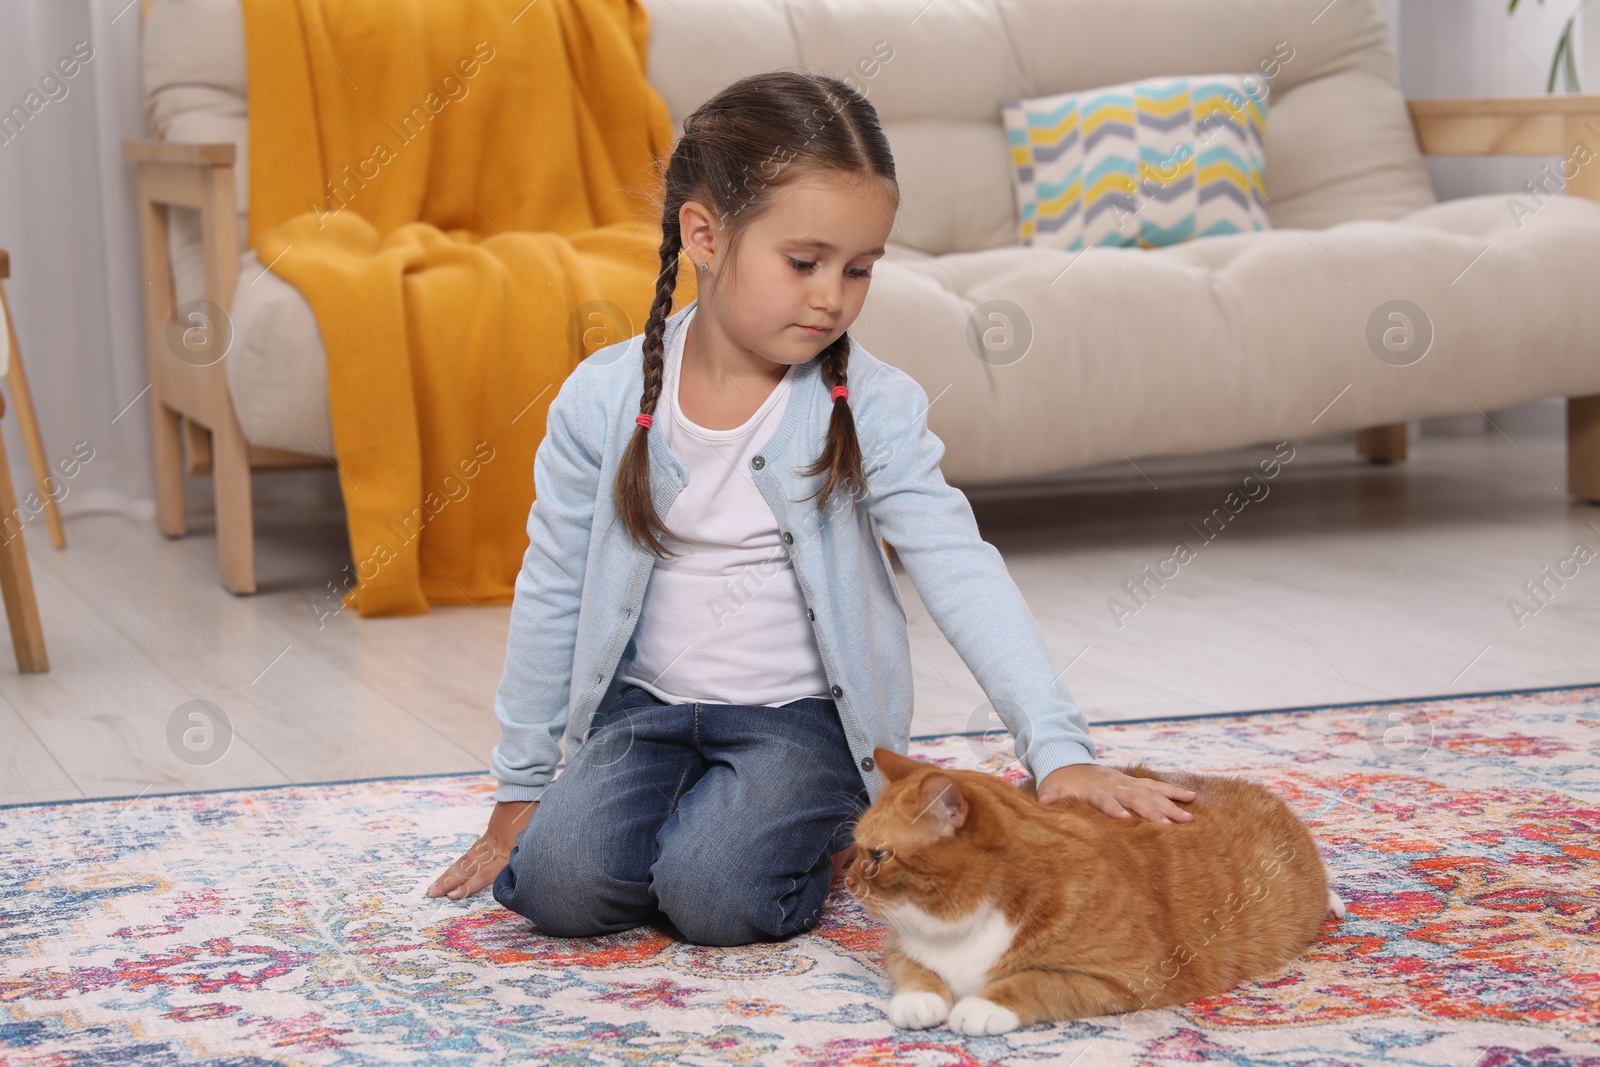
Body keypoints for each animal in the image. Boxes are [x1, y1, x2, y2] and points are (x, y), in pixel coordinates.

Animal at [844, 748, 1344, 1036]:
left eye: (879, 855)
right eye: (855, 847)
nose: (847, 881)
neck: (960, 925)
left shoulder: (1129, 976)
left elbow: (1037, 981)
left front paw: (981, 1005)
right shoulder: (902, 947)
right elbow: (916, 972)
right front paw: (921, 999)